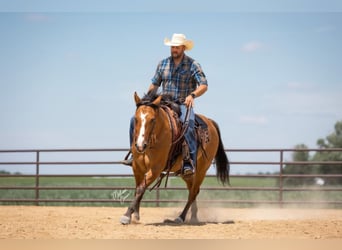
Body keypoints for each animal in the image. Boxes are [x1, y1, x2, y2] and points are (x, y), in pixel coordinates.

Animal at [120, 92, 230, 225]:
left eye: (153, 119)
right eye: (136, 119)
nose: (140, 146)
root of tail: (210, 122)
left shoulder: (156, 169)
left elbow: (141, 188)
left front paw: (127, 215)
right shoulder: (137, 167)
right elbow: (138, 188)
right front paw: (135, 215)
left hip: (202, 170)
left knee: (193, 192)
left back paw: (180, 217)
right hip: (187, 173)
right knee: (192, 190)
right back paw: (193, 217)